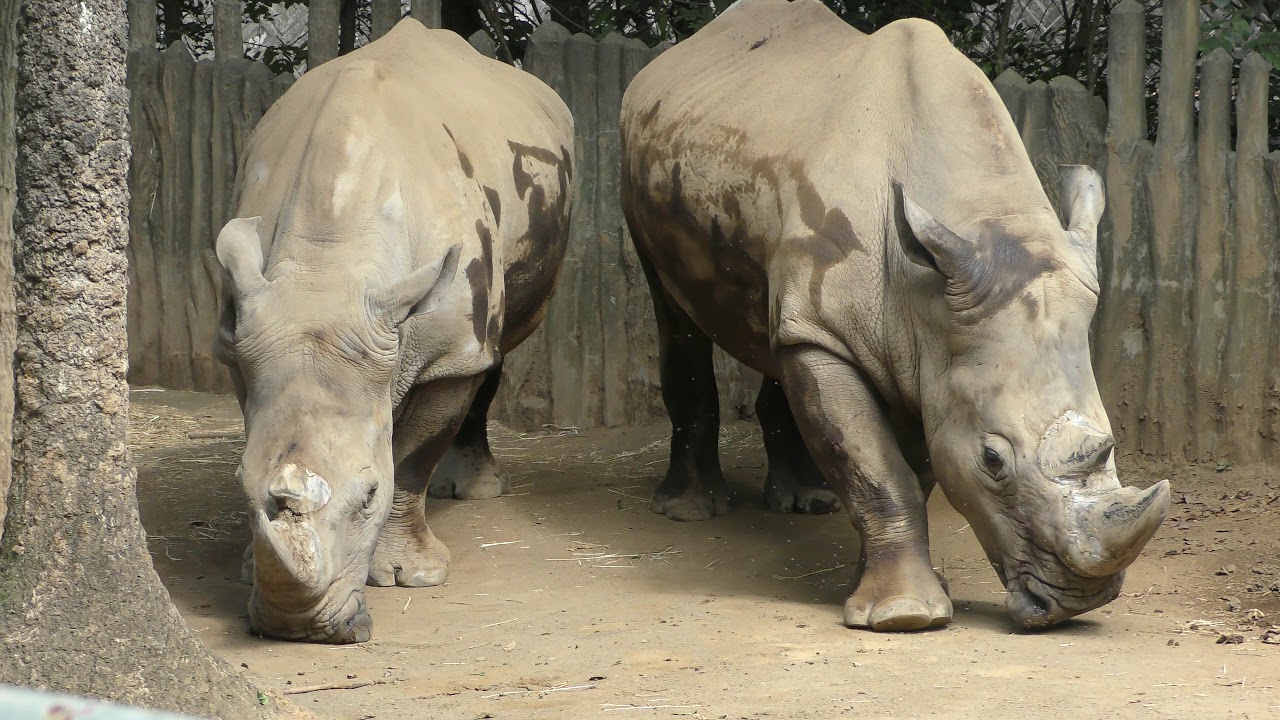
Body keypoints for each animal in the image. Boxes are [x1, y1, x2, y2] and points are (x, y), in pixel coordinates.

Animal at [213, 19, 574, 643]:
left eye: (369, 497)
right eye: (236, 482)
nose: (298, 628)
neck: (328, 270)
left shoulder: (446, 350)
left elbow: (411, 457)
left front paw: (413, 576)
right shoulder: (245, 335)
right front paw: (246, 563)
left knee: (495, 349)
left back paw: (477, 489)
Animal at [619, 0, 1169, 631]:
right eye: (992, 460)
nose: (1080, 604)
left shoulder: (930, 349)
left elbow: (910, 464)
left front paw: (881, 592)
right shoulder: (851, 336)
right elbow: (876, 467)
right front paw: (903, 617)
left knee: (779, 332)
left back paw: (805, 502)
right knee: (676, 311)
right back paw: (691, 511)